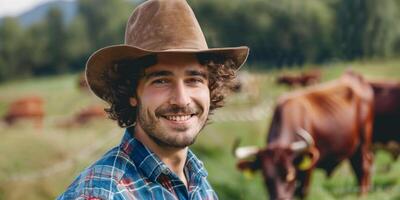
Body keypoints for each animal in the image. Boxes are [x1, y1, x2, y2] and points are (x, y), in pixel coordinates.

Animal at [236, 71, 374, 199]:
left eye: (289, 174)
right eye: (265, 178)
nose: (280, 198)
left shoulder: (308, 169)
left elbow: (303, 192)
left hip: (363, 143)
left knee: (363, 166)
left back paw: (362, 195)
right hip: (353, 148)